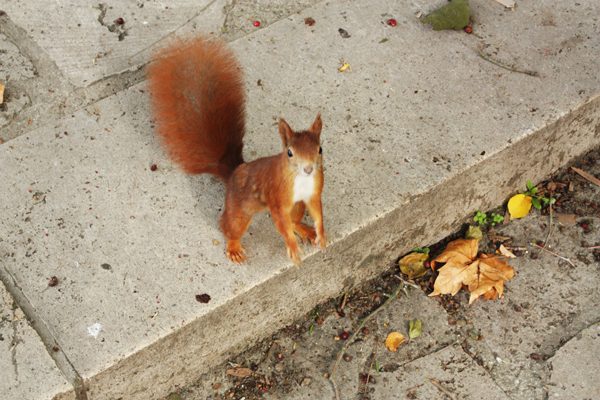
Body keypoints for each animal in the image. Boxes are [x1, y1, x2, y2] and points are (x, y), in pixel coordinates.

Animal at [147, 36, 326, 264]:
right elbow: (281, 223)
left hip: (297, 205)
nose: (308, 169)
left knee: (294, 220)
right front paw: (292, 246)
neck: (301, 180)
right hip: (239, 211)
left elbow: (317, 212)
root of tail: (233, 171)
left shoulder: (312, 193)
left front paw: (321, 234)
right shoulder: (276, 196)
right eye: (289, 153)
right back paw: (233, 247)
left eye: (320, 149)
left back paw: (306, 230)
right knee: (229, 227)